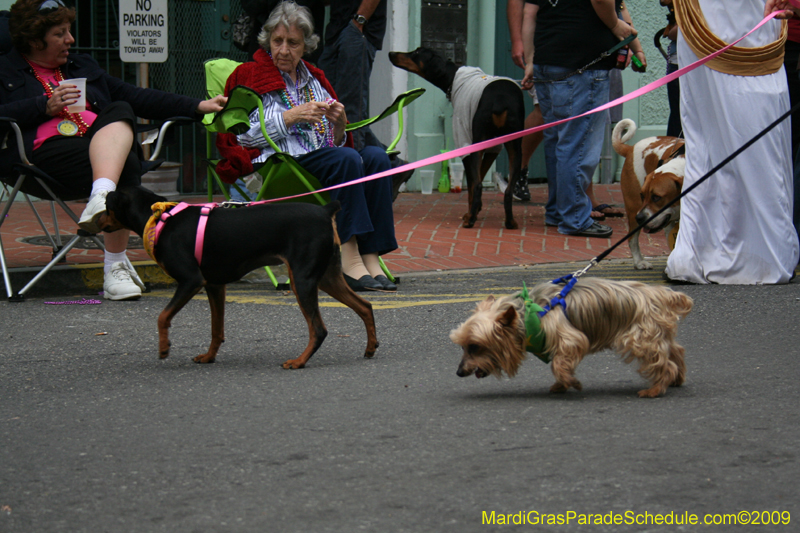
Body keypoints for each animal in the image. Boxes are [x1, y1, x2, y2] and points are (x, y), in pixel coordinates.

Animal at [96, 187, 378, 370]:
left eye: (107, 205)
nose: (93, 222)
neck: (161, 217)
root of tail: (325, 210)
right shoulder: (214, 285)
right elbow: (216, 329)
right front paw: (209, 357)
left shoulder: (191, 281)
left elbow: (162, 316)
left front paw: (164, 347)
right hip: (327, 278)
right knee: (365, 306)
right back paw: (370, 347)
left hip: (303, 279)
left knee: (319, 329)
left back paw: (299, 361)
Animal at [390, 46, 524, 229]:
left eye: (417, 53)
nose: (391, 54)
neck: (453, 77)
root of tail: (500, 99)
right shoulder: (492, 148)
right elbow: (479, 174)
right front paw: (477, 208)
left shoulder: (466, 140)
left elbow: (473, 183)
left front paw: (470, 213)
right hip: (515, 146)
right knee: (508, 189)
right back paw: (510, 221)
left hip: (473, 138)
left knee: (478, 185)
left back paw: (470, 220)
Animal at [616, 121, 684, 270]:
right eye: (642, 195)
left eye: (657, 197)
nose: (640, 218)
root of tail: (631, 148)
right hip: (633, 208)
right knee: (632, 239)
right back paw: (639, 261)